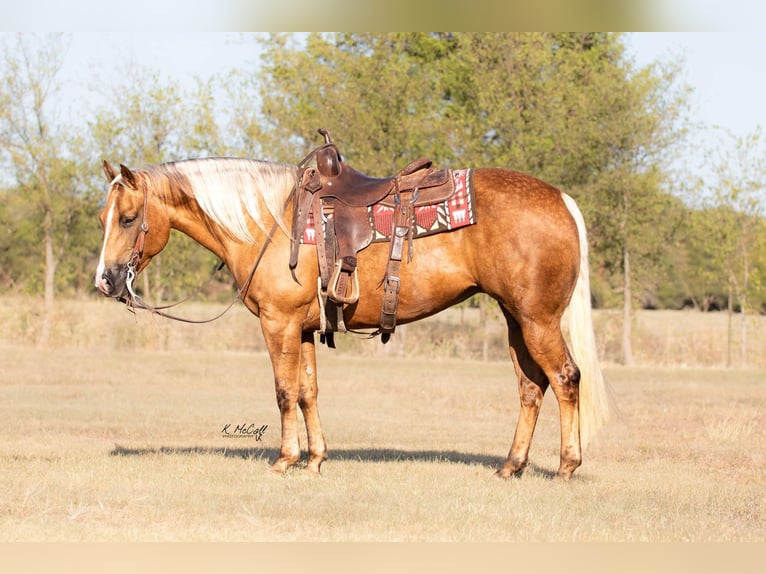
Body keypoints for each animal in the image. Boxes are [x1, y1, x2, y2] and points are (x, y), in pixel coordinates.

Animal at [96, 153, 612, 482]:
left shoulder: (278, 324)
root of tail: (561, 200)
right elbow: (308, 392)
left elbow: (284, 393)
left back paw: (566, 467)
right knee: (531, 388)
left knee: (566, 378)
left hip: (537, 320)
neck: (270, 224)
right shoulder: (304, 329)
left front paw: (285, 460)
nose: (105, 280)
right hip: (515, 320)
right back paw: (511, 466)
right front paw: (315, 460)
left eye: (127, 218)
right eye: (104, 217)